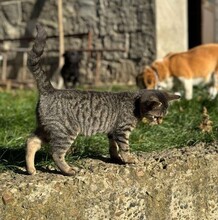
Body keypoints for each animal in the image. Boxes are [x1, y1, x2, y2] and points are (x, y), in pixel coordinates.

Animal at [25, 23, 181, 175]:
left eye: (162, 117)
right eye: (157, 117)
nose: (160, 123)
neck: (135, 104)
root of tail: (50, 90)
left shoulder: (113, 131)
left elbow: (113, 147)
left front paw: (115, 158)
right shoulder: (122, 130)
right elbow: (124, 147)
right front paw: (128, 159)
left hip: (47, 127)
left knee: (31, 141)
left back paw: (31, 169)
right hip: (65, 131)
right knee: (55, 153)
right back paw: (68, 170)